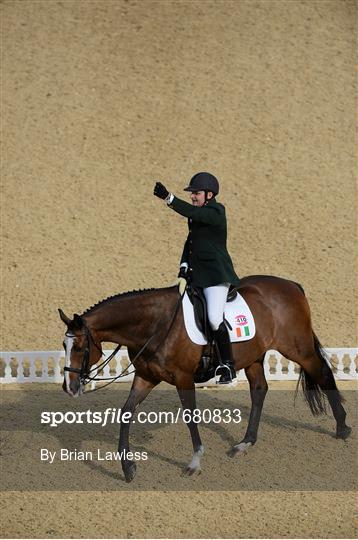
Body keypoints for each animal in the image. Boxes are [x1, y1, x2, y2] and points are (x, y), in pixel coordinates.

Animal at [59, 276, 352, 484]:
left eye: (79, 347)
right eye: (63, 345)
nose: (69, 388)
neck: (156, 324)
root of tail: (291, 285)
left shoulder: (183, 378)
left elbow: (190, 417)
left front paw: (194, 463)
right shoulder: (146, 377)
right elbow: (126, 413)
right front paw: (128, 467)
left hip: (298, 349)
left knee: (324, 374)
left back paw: (342, 428)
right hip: (254, 357)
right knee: (259, 390)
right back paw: (244, 443)